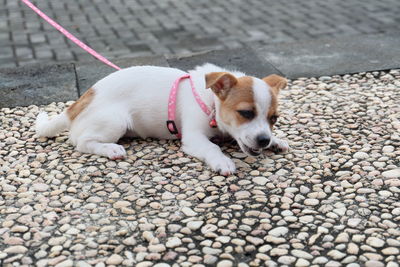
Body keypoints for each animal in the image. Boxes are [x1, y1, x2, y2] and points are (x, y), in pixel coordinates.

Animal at [36, 63, 290, 176]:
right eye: (246, 113)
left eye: (274, 118)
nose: (264, 140)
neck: (211, 102)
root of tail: (77, 103)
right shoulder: (194, 138)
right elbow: (212, 148)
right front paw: (223, 161)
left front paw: (276, 140)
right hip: (115, 121)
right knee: (82, 142)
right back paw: (110, 149)